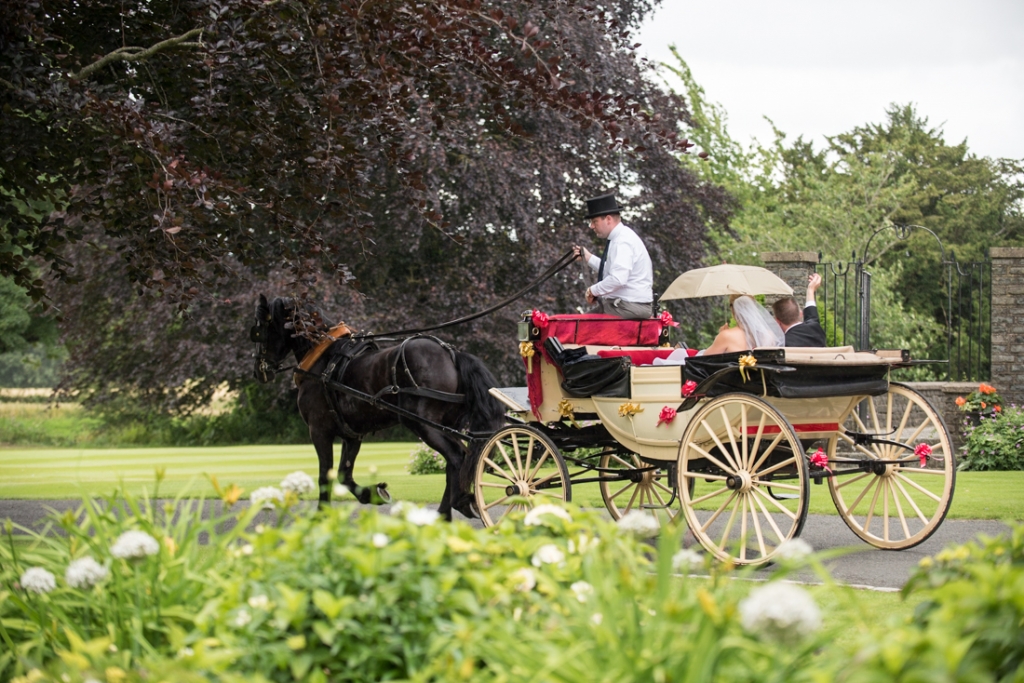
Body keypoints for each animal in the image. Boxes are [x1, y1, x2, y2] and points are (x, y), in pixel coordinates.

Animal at [251, 296, 507, 520]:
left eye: (259, 330)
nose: (259, 372)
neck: (322, 358)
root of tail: (452, 354)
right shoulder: (352, 434)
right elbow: (344, 475)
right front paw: (373, 493)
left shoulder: (319, 431)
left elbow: (325, 475)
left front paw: (321, 515)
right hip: (443, 426)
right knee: (458, 461)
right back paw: (446, 512)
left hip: (423, 425)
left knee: (456, 458)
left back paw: (453, 508)